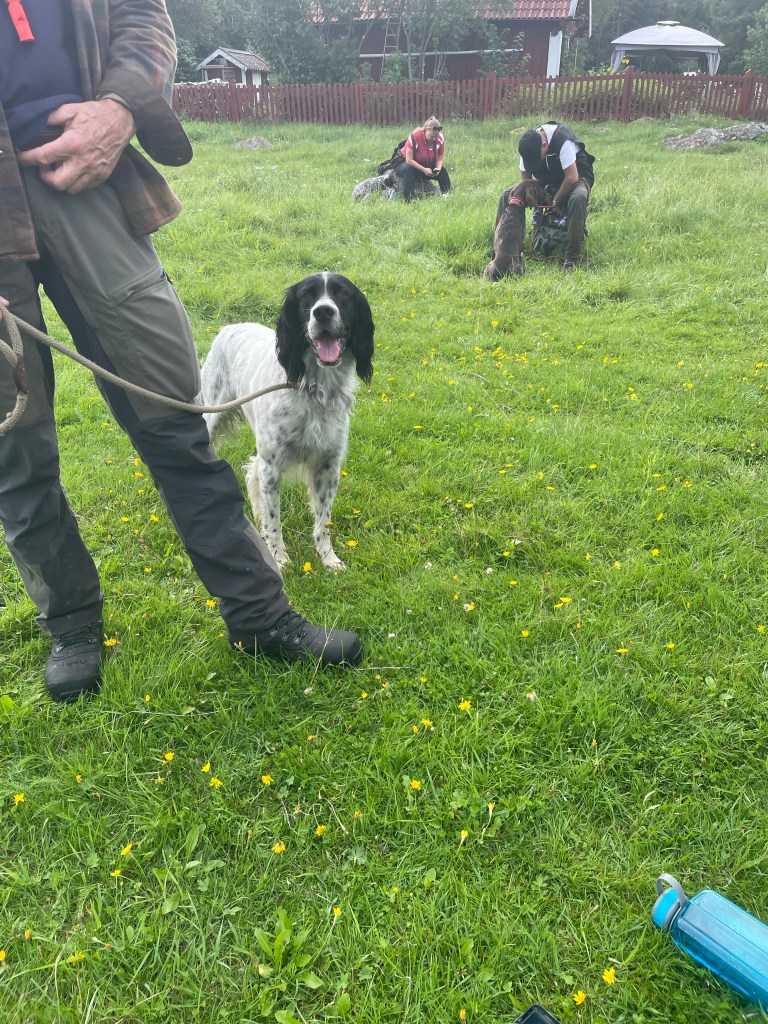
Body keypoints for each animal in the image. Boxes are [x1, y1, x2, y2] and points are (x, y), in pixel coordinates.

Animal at [201, 273, 374, 571]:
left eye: (342, 293)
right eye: (307, 296)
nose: (323, 312)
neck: (315, 388)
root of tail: (228, 327)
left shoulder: (328, 465)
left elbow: (323, 521)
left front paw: (328, 558)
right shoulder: (272, 466)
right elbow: (274, 519)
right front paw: (278, 558)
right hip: (213, 413)